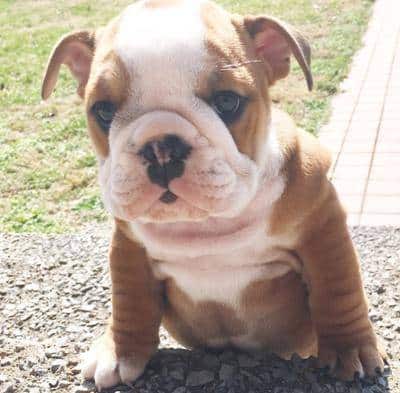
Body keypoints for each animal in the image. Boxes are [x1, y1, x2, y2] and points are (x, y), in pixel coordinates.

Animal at [40, 0, 384, 388]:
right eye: (103, 110)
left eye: (227, 101)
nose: (161, 146)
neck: (206, 224)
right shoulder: (129, 248)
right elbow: (129, 302)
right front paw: (120, 353)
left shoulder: (322, 227)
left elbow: (337, 289)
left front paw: (350, 349)